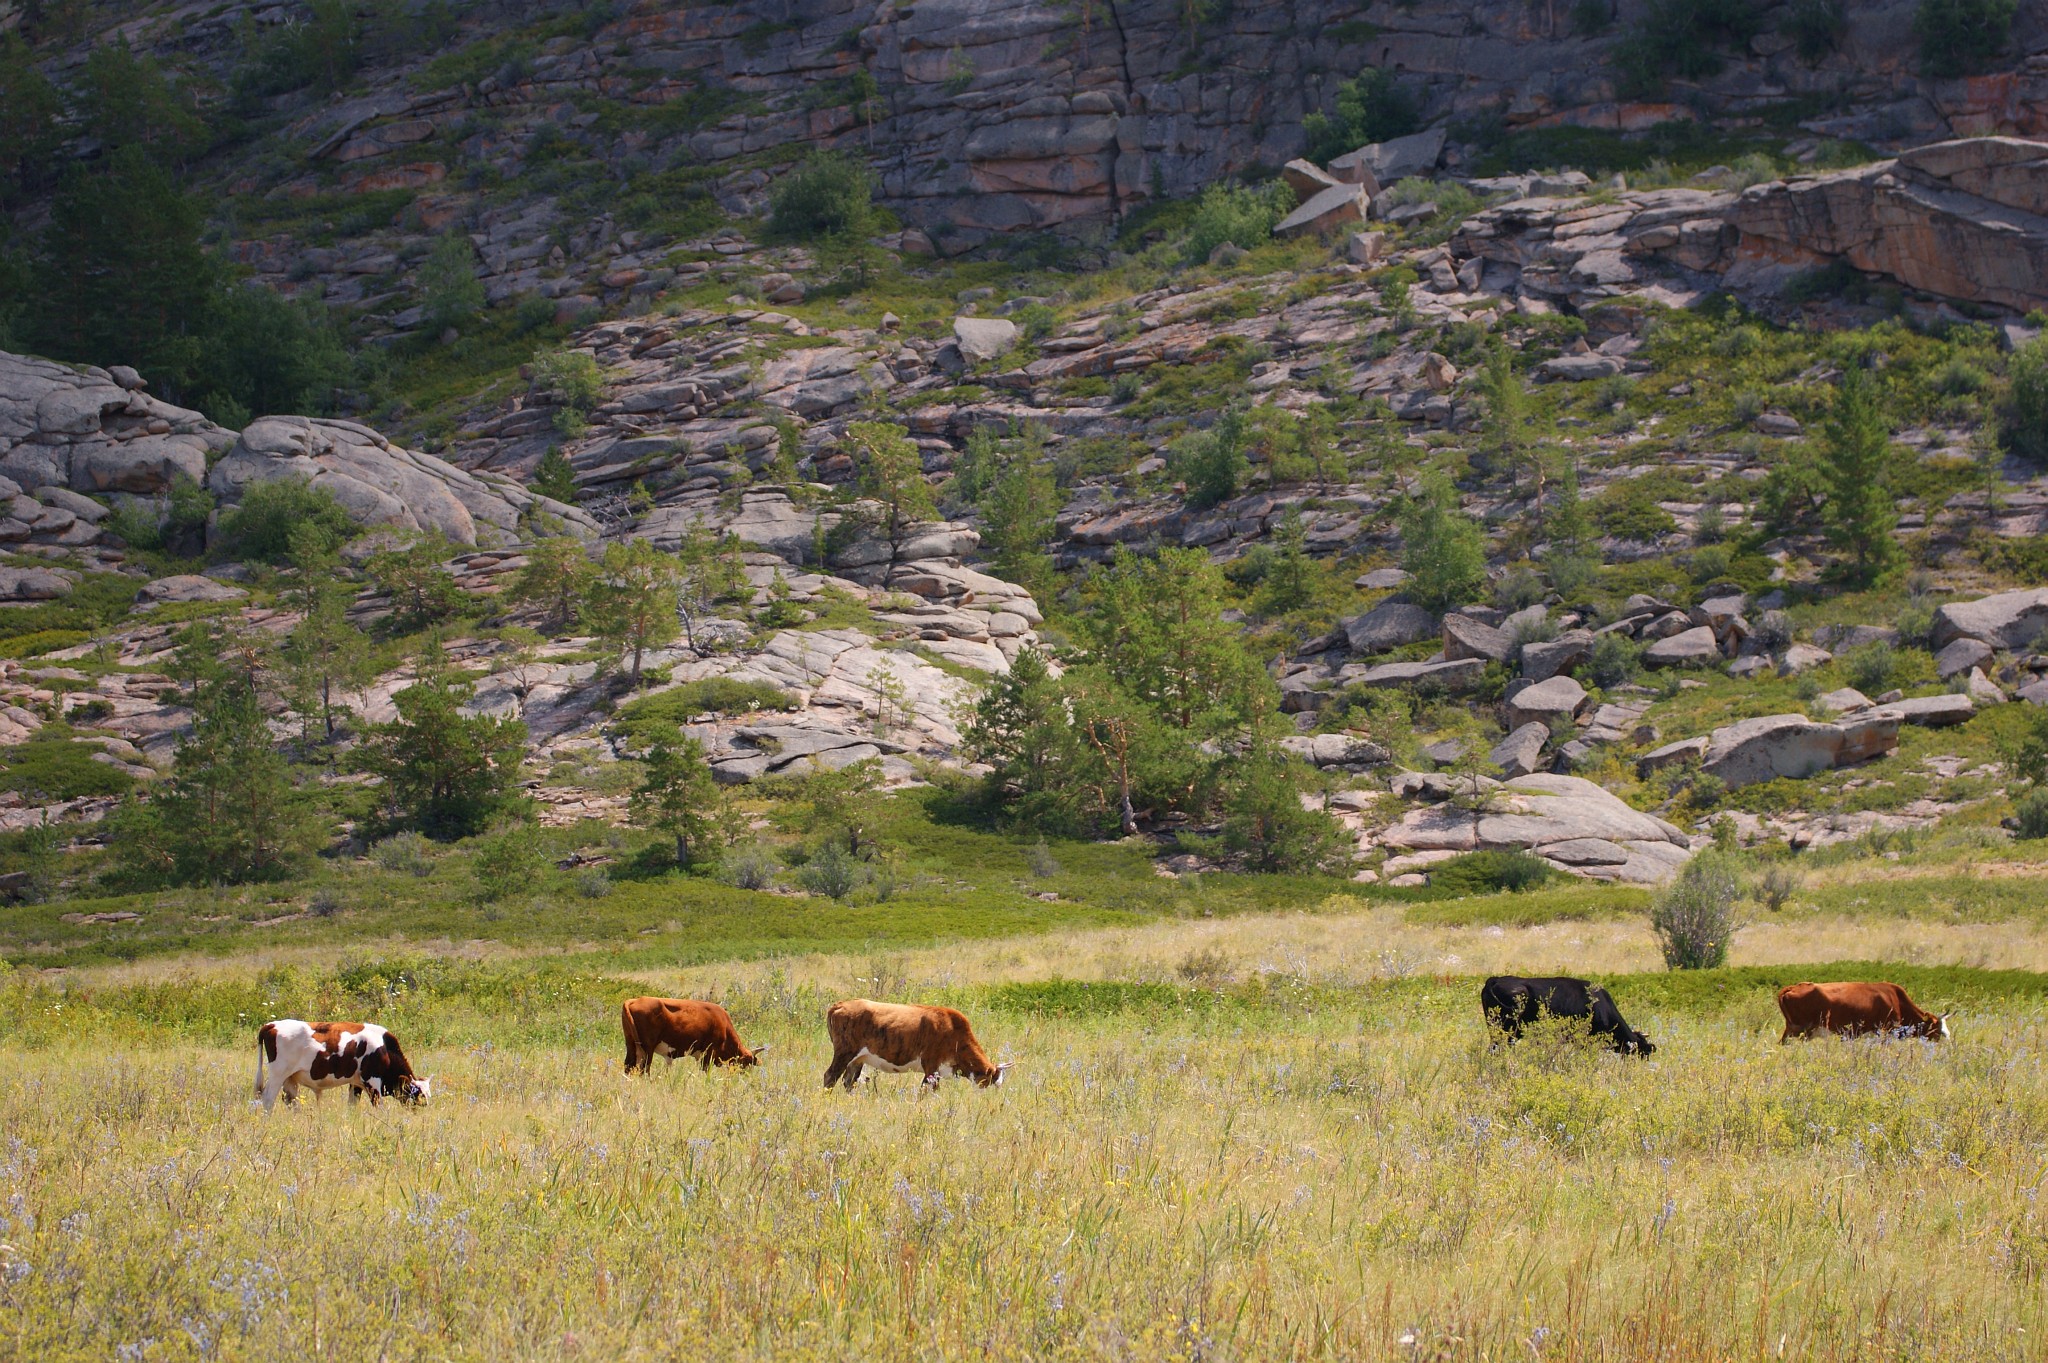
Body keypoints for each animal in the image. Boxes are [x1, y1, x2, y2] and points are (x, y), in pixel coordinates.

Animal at [256, 1015, 432, 1113]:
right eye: (417, 1094)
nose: (424, 1110)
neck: (384, 1049)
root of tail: (271, 1025)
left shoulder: (356, 1084)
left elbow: (352, 1107)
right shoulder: (372, 1082)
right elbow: (379, 1107)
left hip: (290, 1079)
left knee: (291, 1102)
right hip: (278, 1075)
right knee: (267, 1100)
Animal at [815, 994, 1007, 1088]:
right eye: (992, 1081)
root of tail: (840, 1004)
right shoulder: (931, 1067)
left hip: (857, 1059)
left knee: (849, 1081)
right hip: (844, 1053)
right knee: (830, 1076)